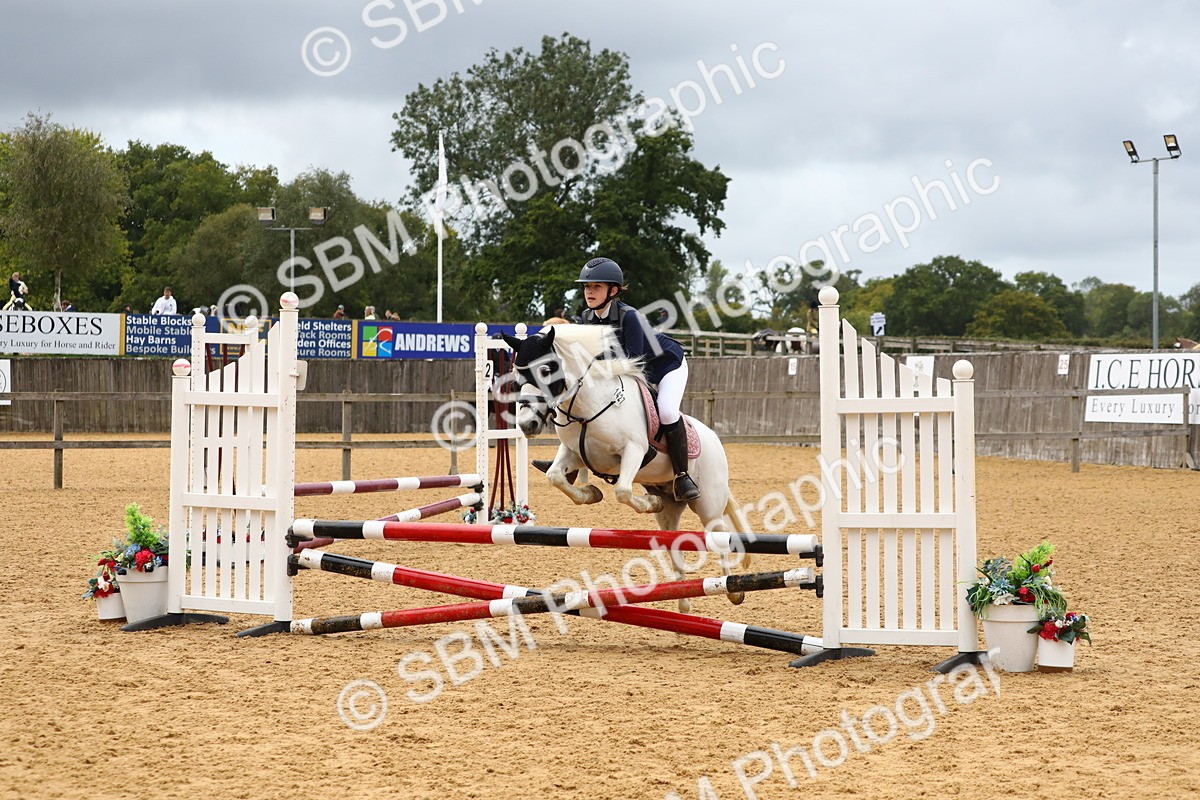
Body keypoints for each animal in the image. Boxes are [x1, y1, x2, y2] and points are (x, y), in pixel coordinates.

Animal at [500, 324, 750, 606]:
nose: (527, 424)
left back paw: (732, 590)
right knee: (675, 544)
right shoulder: (573, 452)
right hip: (671, 510)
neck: (590, 405)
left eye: (545, 370)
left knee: (719, 537)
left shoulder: (634, 450)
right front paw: (591, 494)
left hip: (708, 504)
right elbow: (555, 475)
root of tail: (714, 439)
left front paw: (648, 502)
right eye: (516, 376)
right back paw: (683, 603)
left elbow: (622, 491)